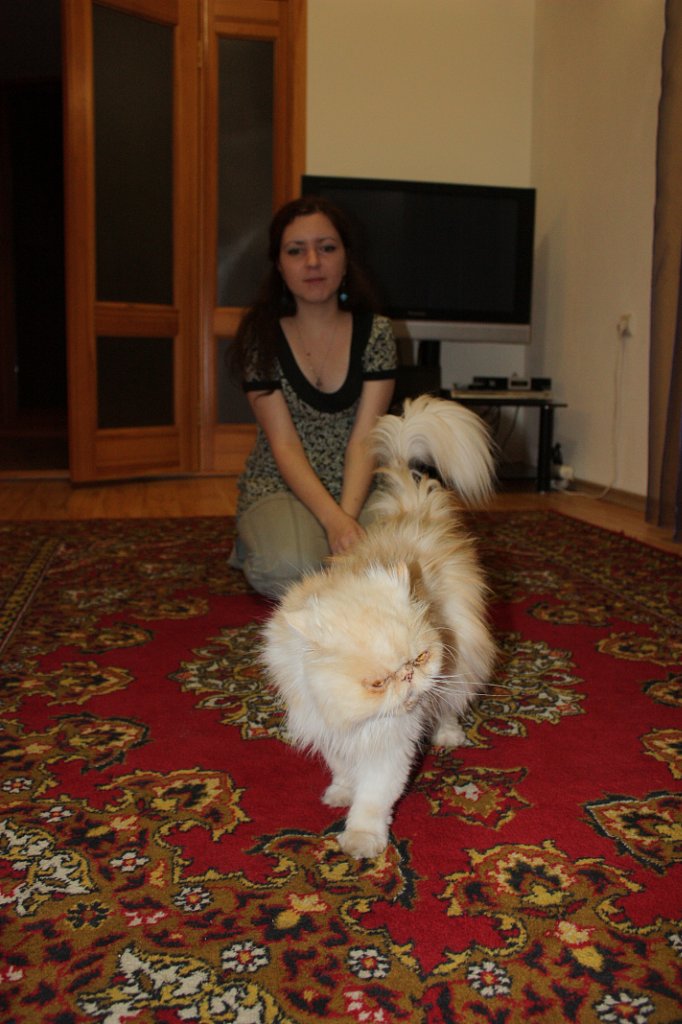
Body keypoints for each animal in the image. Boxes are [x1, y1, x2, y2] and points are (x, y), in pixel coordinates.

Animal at [262, 394, 496, 860]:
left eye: (419, 658)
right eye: (376, 683)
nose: (407, 676)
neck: (357, 720)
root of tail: (414, 505)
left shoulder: (390, 745)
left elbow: (373, 797)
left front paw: (361, 840)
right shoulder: (329, 728)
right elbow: (343, 770)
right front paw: (340, 792)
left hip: (459, 665)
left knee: (449, 704)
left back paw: (448, 735)